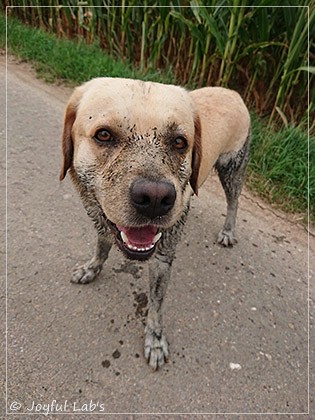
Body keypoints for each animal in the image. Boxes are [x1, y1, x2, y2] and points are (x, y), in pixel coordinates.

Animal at [59, 77, 252, 370]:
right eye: (104, 135)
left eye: (179, 142)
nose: (155, 199)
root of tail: (232, 92)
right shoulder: (103, 217)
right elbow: (102, 245)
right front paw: (92, 268)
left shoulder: (162, 257)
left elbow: (156, 304)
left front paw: (155, 339)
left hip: (232, 167)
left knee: (234, 202)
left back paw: (228, 230)